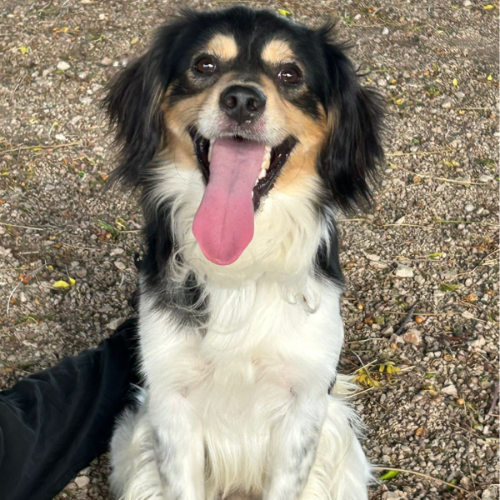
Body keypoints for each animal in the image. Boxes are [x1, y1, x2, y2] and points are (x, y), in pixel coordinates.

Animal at [105, 7, 384, 500]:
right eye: (204, 64)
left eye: (291, 73)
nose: (241, 100)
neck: (240, 267)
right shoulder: (170, 400)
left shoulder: (304, 403)